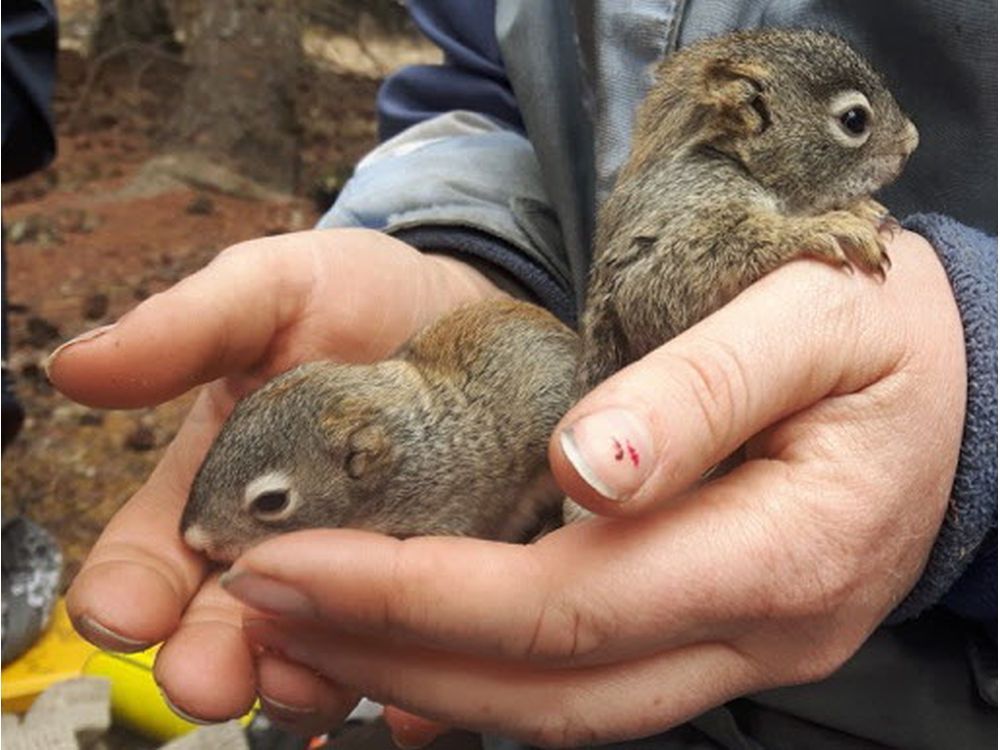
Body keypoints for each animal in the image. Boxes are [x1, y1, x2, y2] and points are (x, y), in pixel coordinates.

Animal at [576, 27, 916, 394]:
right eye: (855, 120)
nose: (912, 140)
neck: (740, 164)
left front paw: (862, 208)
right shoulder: (689, 197)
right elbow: (655, 288)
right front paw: (823, 228)